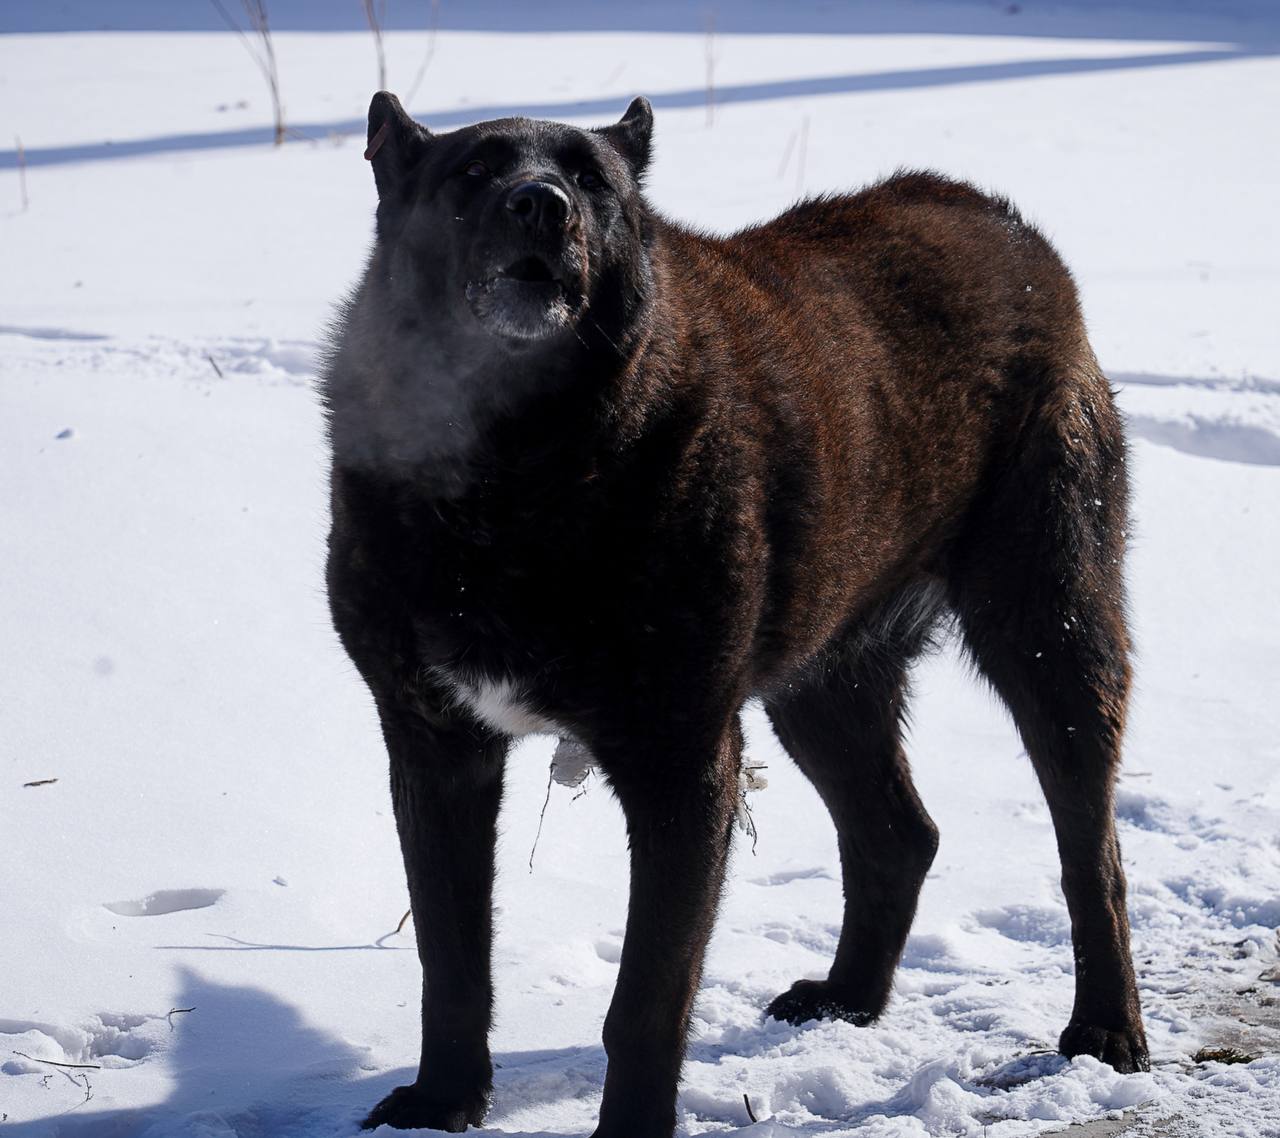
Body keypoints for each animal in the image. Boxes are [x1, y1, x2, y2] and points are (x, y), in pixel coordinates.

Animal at [322, 93, 1152, 1131]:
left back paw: (1107, 1031)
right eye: (471, 175)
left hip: (1050, 637)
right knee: (900, 836)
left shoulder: (682, 763)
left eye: (592, 180)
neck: (518, 474)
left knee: (1092, 853)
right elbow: (451, 958)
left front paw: (629, 1129)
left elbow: (645, 1002)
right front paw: (441, 1101)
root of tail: (1002, 221)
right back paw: (848, 998)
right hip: (825, 685)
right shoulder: (435, 748)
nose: (542, 206)